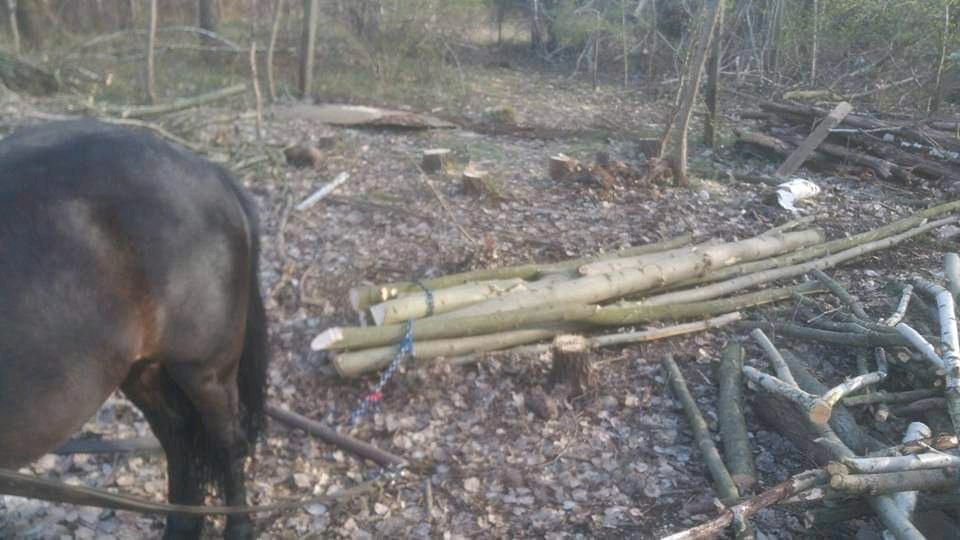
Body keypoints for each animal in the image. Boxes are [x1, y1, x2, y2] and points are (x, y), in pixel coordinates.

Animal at [0, 120, 268, 536]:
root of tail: (211, 171)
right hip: (142, 368)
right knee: (177, 437)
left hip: (206, 370)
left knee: (227, 445)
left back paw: (237, 529)